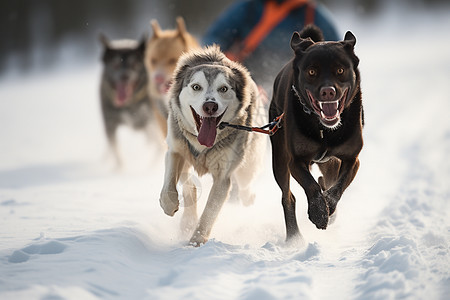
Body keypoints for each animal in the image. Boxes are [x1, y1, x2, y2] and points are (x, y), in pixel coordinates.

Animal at [268, 25, 364, 241]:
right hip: (279, 158)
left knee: (328, 178)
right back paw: (294, 238)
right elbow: (310, 185)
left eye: (340, 70)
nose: (328, 91)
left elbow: (338, 185)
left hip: (330, 161)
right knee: (288, 197)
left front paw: (328, 206)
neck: (325, 131)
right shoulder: (296, 160)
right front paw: (319, 213)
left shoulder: (352, 158)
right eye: (312, 71)